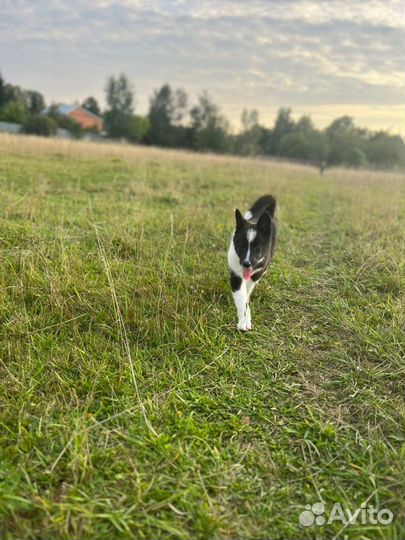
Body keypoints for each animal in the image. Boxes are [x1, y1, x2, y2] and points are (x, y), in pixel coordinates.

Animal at [226, 194, 276, 330]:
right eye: (241, 246)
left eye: (257, 249)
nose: (246, 264)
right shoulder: (236, 275)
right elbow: (241, 298)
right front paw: (244, 321)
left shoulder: (256, 272)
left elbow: (247, 293)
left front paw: (245, 318)